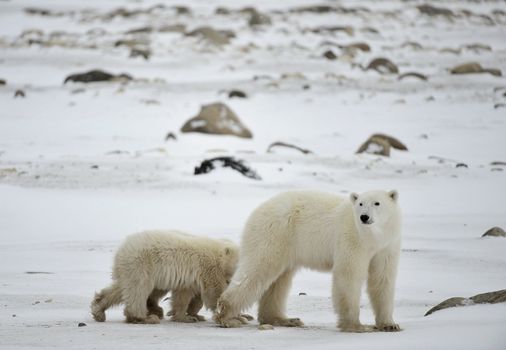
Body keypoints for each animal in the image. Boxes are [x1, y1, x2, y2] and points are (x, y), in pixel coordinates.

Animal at [215, 190, 402, 332]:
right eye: (361, 204)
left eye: (377, 203)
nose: (364, 217)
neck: (372, 237)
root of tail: (258, 209)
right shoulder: (352, 239)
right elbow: (349, 275)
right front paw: (357, 326)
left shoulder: (387, 246)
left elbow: (382, 279)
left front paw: (390, 324)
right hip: (275, 233)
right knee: (258, 269)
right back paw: (227, 317)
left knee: (279, 280)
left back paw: (285, 319)